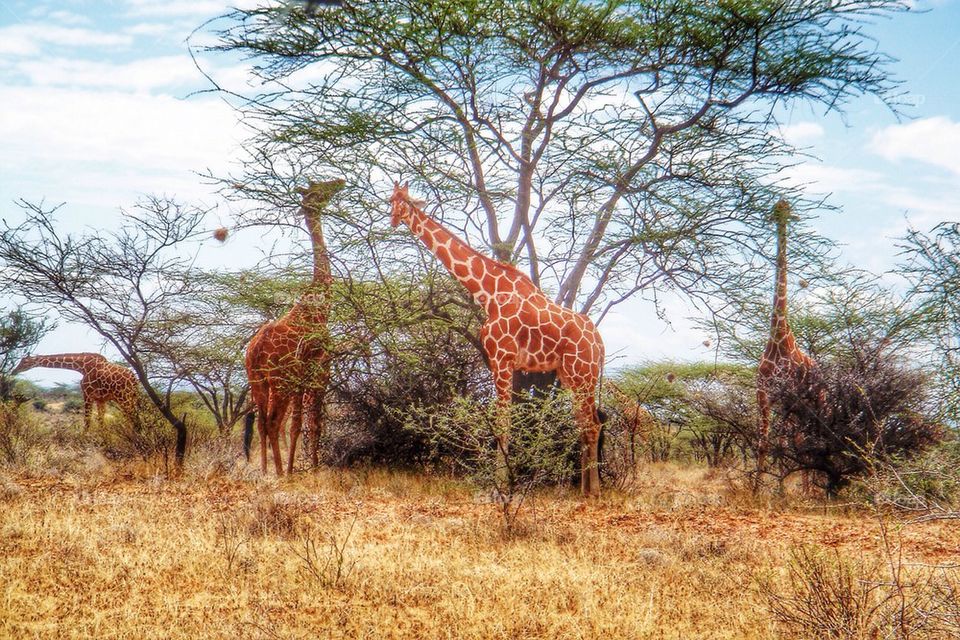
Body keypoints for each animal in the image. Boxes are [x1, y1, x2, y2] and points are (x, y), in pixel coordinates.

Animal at [245, 178, 345, 475]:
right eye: (319, 189)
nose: (340, 181)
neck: (320, 307)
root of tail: (254, 352)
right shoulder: (316, 370)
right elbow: (307, 424)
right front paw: (307, 469)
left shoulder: (304, 377)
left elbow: (301, 424)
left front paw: (300, 467)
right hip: (280, 382)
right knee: (273, 421)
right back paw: (280, 473)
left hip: (257, 382)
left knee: (263, 423)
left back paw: (267, 470)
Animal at [389, 183, 607, 496]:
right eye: (389, 200)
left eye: (404, 202)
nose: (394, 219)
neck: (488, 294)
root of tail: (599, 342)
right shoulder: (500, 362)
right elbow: (505, 421)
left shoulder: (502, 359)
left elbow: (503, 422)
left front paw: (501, 487)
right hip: (570, 376)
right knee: (584, 424)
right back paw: (583, 489)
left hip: (583, 374)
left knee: (592, 425)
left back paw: (594, 492)